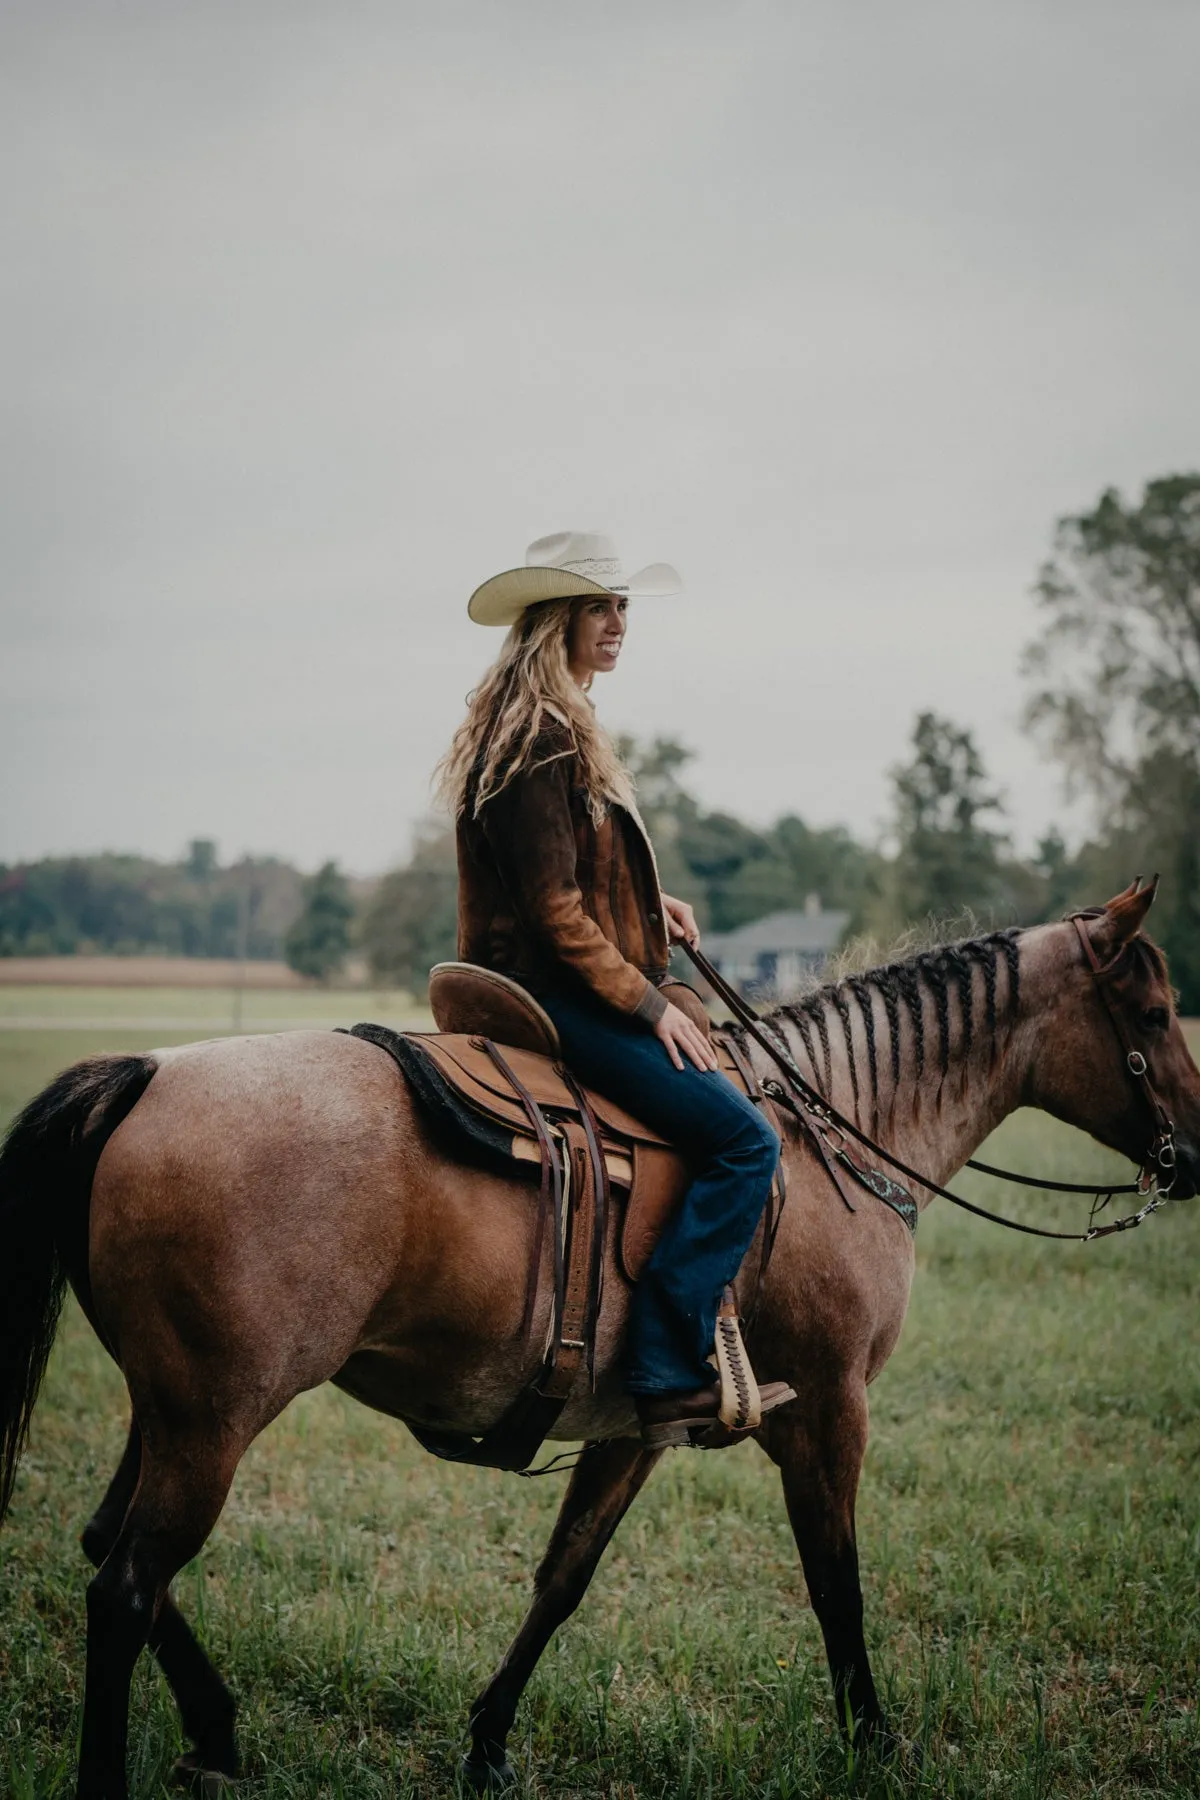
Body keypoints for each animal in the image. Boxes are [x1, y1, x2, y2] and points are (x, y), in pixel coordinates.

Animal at [0, 878, 1194, 1792]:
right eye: (1149, 1014)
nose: (1194, 1155)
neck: (833, 1145)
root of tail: (152, 1071)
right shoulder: (831, 1409)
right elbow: (835, 1580)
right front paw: (874, 1742)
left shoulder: (637, 1423)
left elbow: (565, 1577)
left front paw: (487, 1746)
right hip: (214, 1421)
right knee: (125, 1585)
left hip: (168, 1413)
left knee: (106, 1546)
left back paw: (218, 1730)